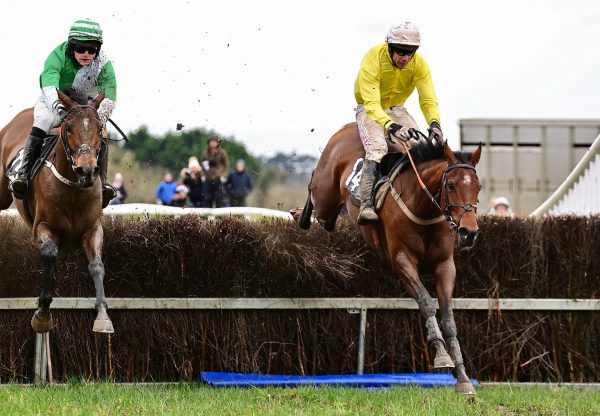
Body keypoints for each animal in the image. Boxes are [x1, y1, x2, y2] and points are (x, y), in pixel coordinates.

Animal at [0, 92, 114, 334]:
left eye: (100, 128)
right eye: (68, 128)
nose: (86, 170)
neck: (73, 187)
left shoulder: (93, 229)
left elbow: (97, 265)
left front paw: (102, 315)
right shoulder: (41, 229)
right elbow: (50, 254)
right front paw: (42, 314)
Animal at [296, 122, 482, 394]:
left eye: (478, 187)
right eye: (451, 186)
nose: (469, 232)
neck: (423, 207)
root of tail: (347, 127)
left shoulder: (445, 265)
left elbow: (448, 318)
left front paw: (463, 377)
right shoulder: (402, 261)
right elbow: (426, 303)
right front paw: (441, 356)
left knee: (327, 220)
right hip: (325, 195)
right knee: (314, 192)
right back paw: (299, 213)